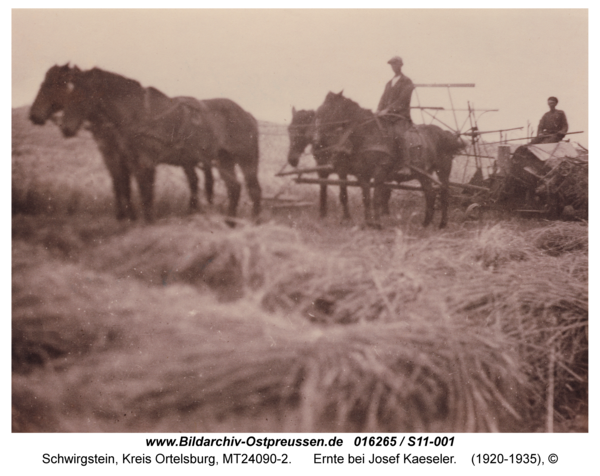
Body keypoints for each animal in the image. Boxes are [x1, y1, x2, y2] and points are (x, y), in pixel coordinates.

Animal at [314, 92, 464, 229]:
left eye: (327, 110)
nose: (317, 138)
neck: (369, 134)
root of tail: (446, 134)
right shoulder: (363, 175)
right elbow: (366, 198)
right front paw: (368, 223)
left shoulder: (380, 172)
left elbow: (376, 198)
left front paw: (377, 224)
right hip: (424, 173)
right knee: (430, 194)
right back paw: (426, 223)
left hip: (443, 169)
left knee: (444, 194)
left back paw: (442, 223)